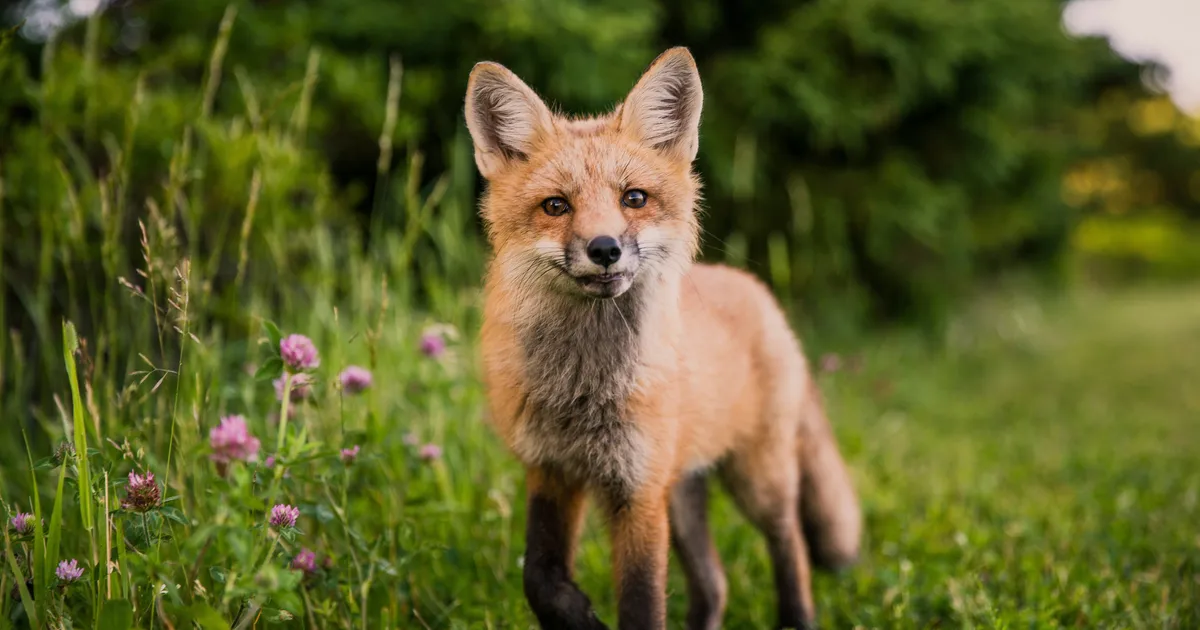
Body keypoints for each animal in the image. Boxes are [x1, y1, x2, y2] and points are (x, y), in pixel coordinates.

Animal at [465, 47, 862, 630]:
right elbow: (537, 577)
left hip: (757, 479)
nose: (605, 248)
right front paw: (580, 616)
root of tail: (757, 291)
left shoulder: (639, 490)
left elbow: (641, 602)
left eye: (634, 198)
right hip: (684, 491)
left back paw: (797, 616)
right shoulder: (552, 470)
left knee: (791, 546)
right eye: (556, 206)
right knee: (715, 584)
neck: (584, 390)